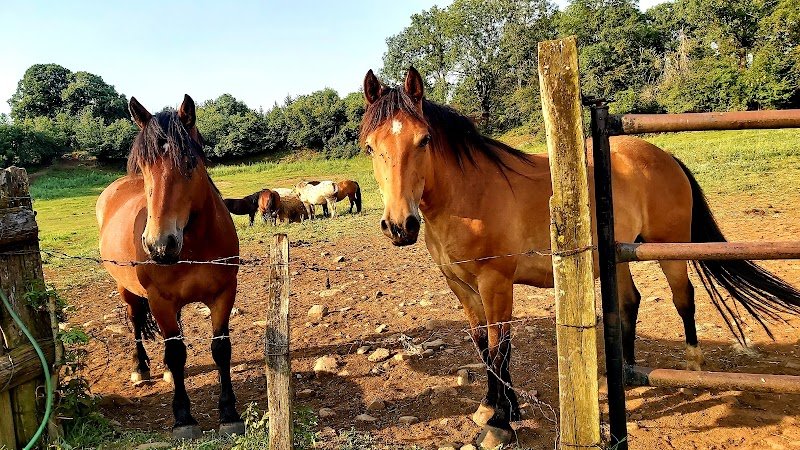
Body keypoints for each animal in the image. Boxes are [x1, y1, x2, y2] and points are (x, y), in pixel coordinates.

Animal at [96, 95, 244, 439]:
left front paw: (229, 414)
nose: (160, 245)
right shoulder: (160, 301)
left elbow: (221, 350)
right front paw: (184, 419)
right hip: (127, 291)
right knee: (136, 322)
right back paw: (141, 369)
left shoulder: (223, 294)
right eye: (144, 167)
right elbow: (176, 353)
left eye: (189, 163)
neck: (194, 245)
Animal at [359, 67, 800, 446]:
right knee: (629, 302)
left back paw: (692, 365)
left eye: (424, 140)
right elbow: (483, 346)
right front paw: (493, 408)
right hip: (619, 255)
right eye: (370, 147)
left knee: (683, 298)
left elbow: (500, 348)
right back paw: (621, 374)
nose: (399, 225)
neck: (469, 194)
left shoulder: (495, 283)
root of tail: (664, 156)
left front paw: (501, 423)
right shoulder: (461, 286)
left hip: (670, 249)